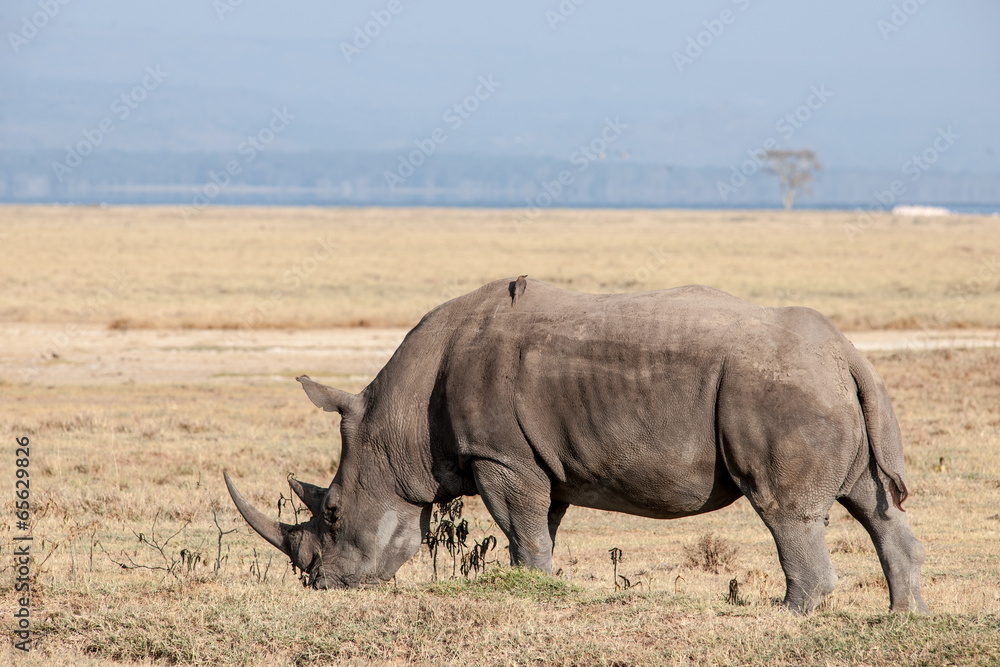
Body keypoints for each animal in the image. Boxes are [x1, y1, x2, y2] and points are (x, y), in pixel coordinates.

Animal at [225, 277, 928, 614]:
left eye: (333, 512)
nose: (319, 585)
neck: (394, 425)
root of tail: (846, 352)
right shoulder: (534, 460)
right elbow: (540, 529)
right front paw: (532, 584)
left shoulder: (499, 455)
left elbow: (523, 531)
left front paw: (526, 589)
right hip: (825, 386)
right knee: (871, 503)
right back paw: (904, 617)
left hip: (781, 388)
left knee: (785, 511)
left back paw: (788, 616)